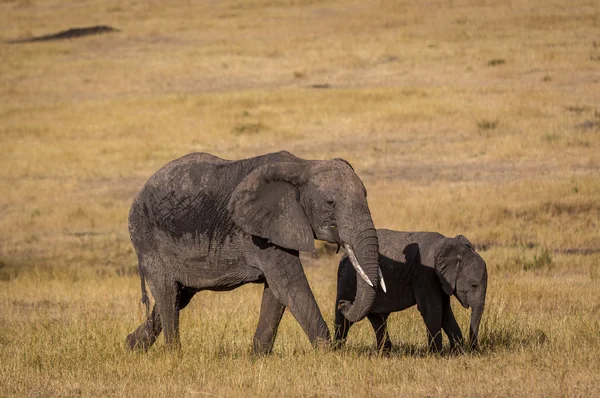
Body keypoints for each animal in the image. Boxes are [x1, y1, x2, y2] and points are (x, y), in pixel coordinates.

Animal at [124, 151, 382, 352]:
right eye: (330, 203)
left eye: (366, 195)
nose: (343, 304)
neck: (303, 166)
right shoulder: (260, 232)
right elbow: (290, 283)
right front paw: (328, 355)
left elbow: (277, 290)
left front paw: (258, 357)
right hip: (147, 238)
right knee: (168, 294)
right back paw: (174, 354)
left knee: (179, 296)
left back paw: (131, 346)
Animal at [332, 229, 488, 352]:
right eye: (474, 285)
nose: (474, 349)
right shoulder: (425, 274)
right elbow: (432, 310)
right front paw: (437, 354)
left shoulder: (441, 279)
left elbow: (445, 311)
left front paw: (458, 352)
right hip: (348, 279)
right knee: (345, 320)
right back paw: (338, 349)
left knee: (377, 318)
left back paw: (385, 352)